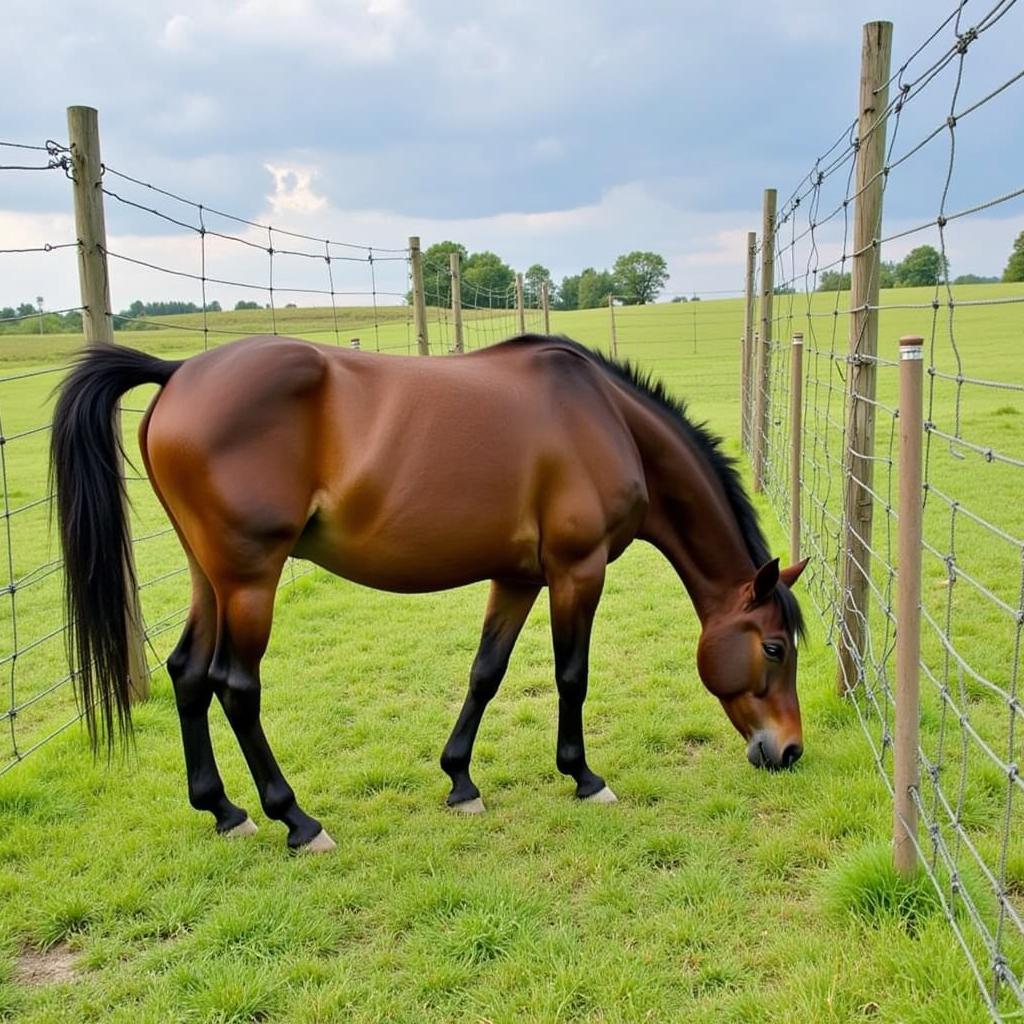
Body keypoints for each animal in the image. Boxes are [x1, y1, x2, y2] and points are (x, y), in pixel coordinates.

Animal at [51, 331, 806, 851]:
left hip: (210, 578)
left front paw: (460, 781)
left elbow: (486, 672)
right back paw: (295, 819)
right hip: (249, 581)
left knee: (187, 674)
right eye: (774, 648)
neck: (604, 419)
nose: (790, 751)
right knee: (235, 687)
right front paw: (584, 777)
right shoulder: (577, 570)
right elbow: (571, 676)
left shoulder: (518, 576)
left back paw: (224, 811)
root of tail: (179, 372)